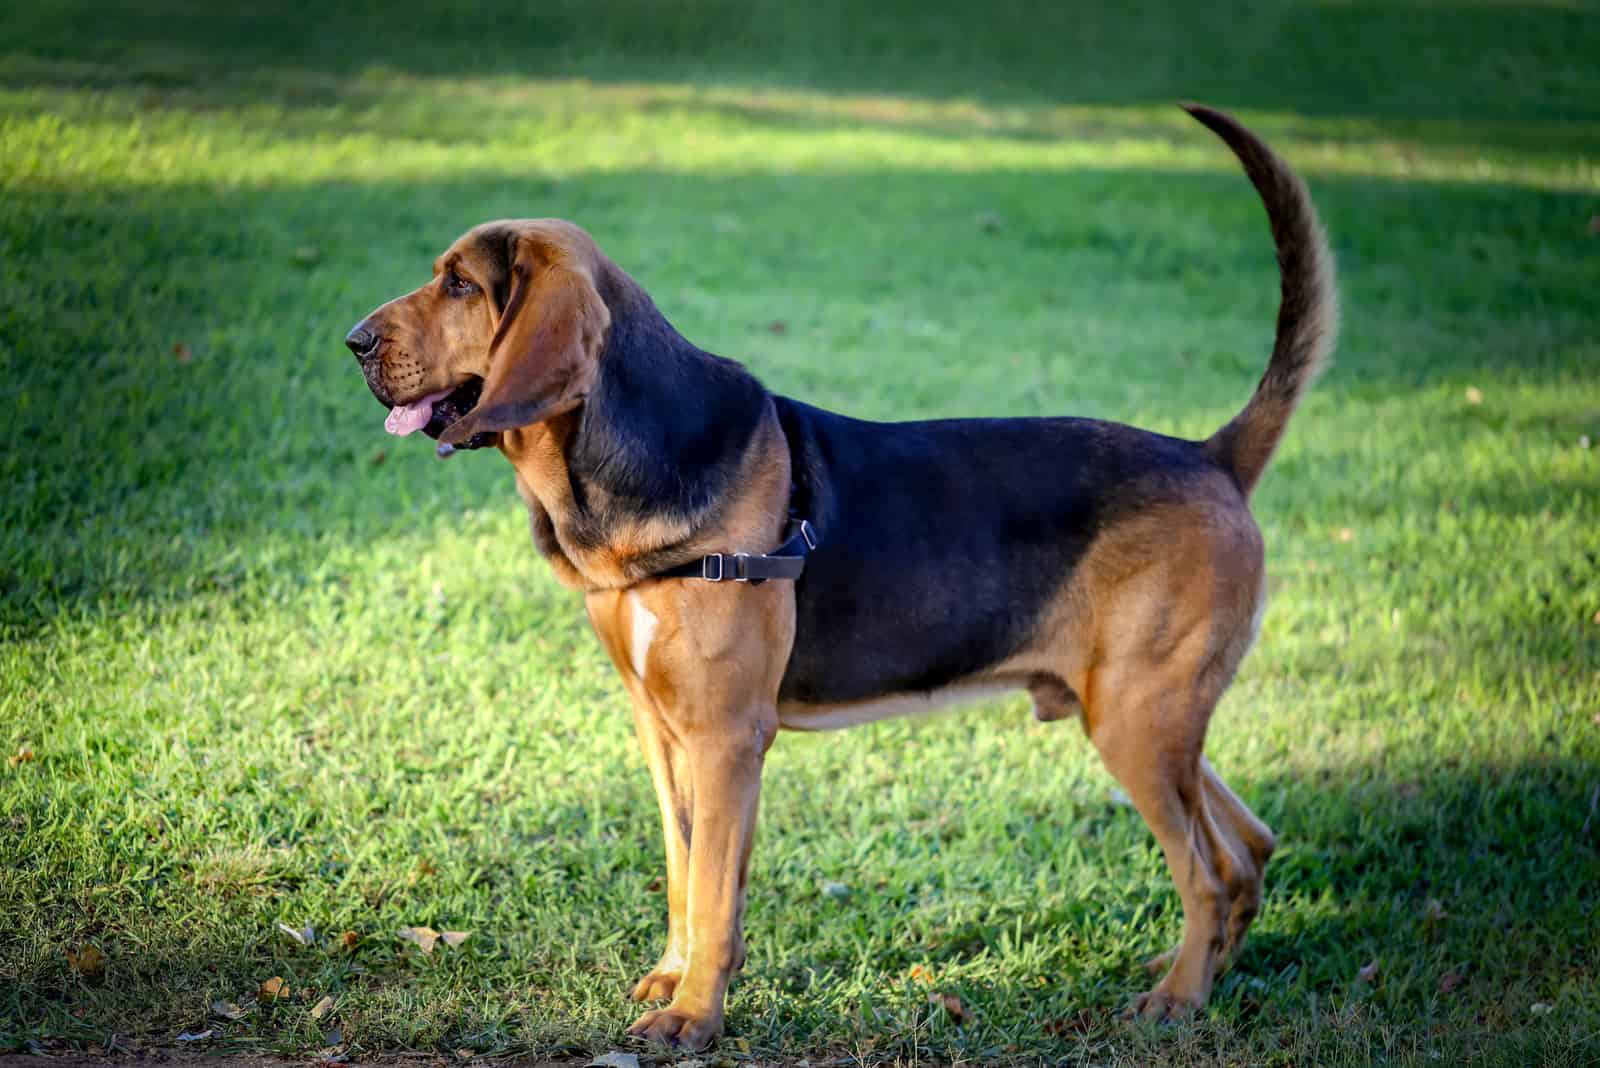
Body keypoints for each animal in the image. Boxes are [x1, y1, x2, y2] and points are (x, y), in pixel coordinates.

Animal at [344, 108, 1331, 1048]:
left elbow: (713, 890)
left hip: (1136, 717)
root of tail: (1210, 456)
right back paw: (1194, 971)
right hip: (1149, 719)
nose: (353, 342)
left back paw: (1176, 1001)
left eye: (461, 285)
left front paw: (692, 1019)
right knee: (1247, 848)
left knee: (1208, 872)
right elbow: (685, 868)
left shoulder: (727, 737)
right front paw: (676, 979)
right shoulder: (663, 731)